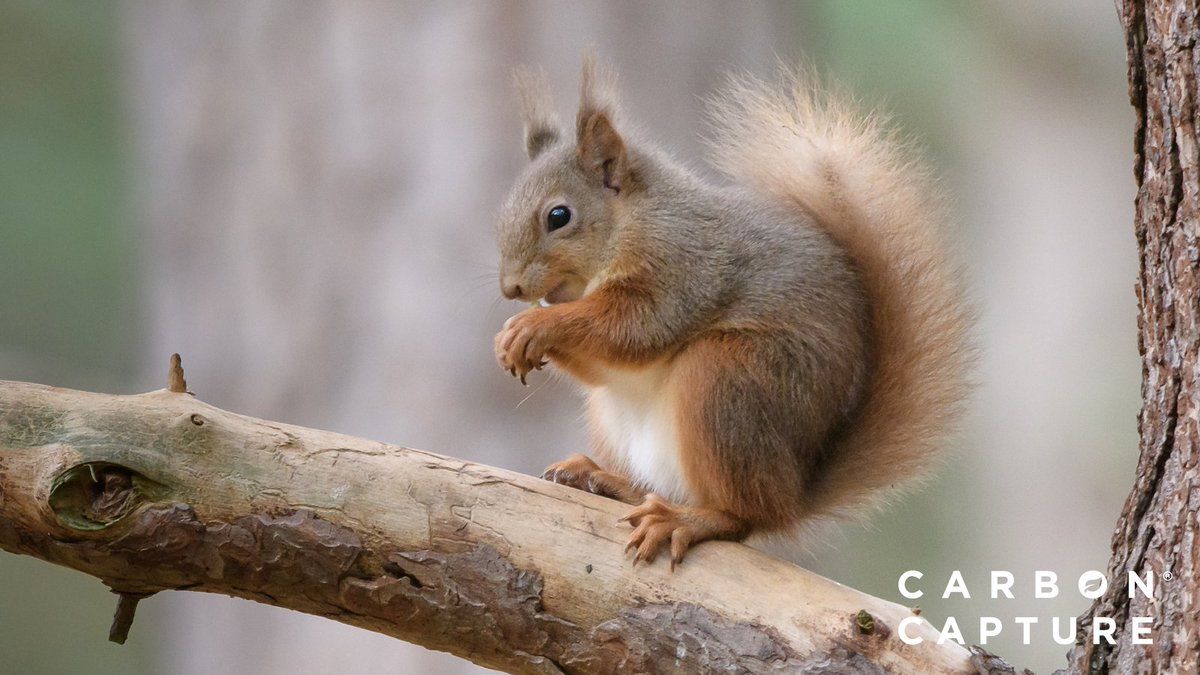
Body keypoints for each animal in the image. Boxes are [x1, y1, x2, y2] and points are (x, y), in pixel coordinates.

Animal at [493, 55, 972, 568]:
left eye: (559, 216)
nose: (510, 288)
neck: (635, 221)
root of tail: (795, 492)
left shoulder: (684, 270)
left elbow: (635, 329)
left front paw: (534, 325)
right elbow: (602, 366)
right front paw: (510, 338)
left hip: (726, 382)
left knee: (745, 515)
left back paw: (684, 519)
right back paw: (602, 477)